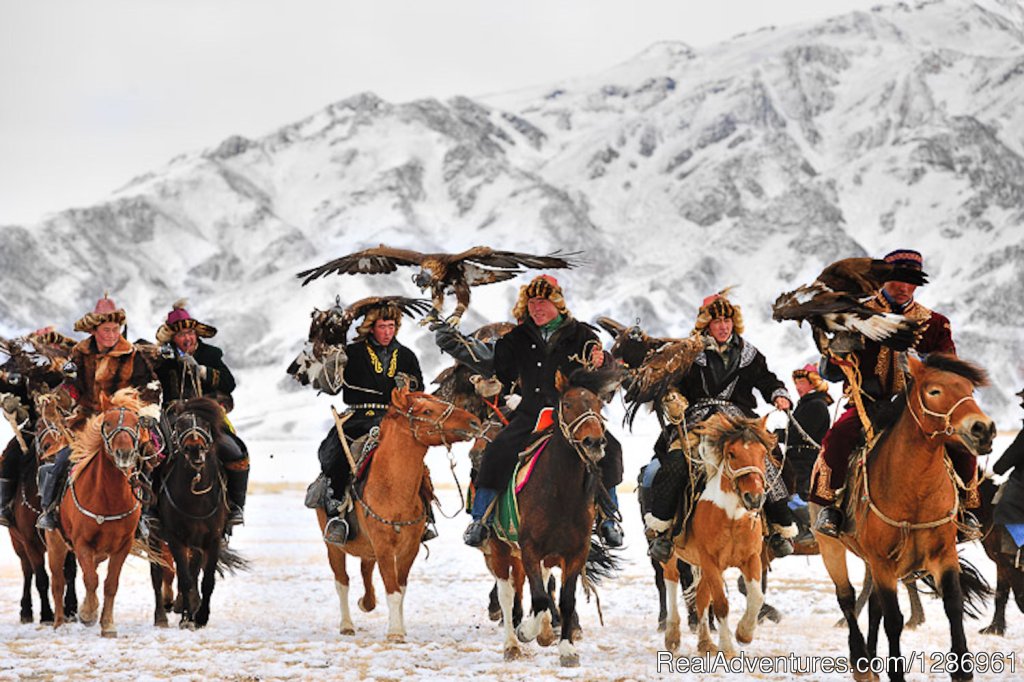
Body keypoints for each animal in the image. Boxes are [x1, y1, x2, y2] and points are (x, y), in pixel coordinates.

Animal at [44, 391, 148, 634]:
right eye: (107, 422)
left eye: (136, 423)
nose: (124, 454)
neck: (108, 498)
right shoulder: (82, 543)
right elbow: (90, 579)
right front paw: (88, 613)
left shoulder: (122, 546)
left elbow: (110, 583)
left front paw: (107, 624)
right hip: (55, 544)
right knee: (58, 582)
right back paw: (59, 623)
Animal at [313, 385, 481, 638]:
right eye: (427, 410)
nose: (474, 422)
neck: (391, 488)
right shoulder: (383, 546)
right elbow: (391, 588)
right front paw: (395, 633)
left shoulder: (409, 548)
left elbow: (400, 589)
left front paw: (399, 626)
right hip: (333, 546)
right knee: (342, 581)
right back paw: (347, 625)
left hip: (367, 547)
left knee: (365, 570)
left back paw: (366, 602)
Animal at [485, 366, 622, 663]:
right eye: (567, 404)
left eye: (598, 404)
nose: (594, 442)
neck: (560, 491)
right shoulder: (529, 548)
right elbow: (538, 598)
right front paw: (526, 632)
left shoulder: (576, 551)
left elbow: (565, 599)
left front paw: (566, 648)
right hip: (500, 547)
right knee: (506, 592)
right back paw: (512, 644)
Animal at [655, 409, 774, 655]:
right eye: (732, 453)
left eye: (763, 453)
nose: (754, 498)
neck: (732, 516)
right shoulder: (710, 560)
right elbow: (720, 604)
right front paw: (728, 648)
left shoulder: (751, 558)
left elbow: (756, 596)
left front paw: (744, 633)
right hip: (671, 555)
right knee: (671, 581)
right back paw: (672, 635)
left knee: (701, 595)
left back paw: (705, 642)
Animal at [811, 352, 995, 675]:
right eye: (934, 391)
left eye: (969, 391)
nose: (983, 429)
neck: (914, 490)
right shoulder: (883, 562)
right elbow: (894, 619)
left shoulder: (943, 555)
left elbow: (953, 606)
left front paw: (962, 670)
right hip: (831, 547)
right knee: (847, 598)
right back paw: (860, 659)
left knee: (873, 607)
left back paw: (871, 657)